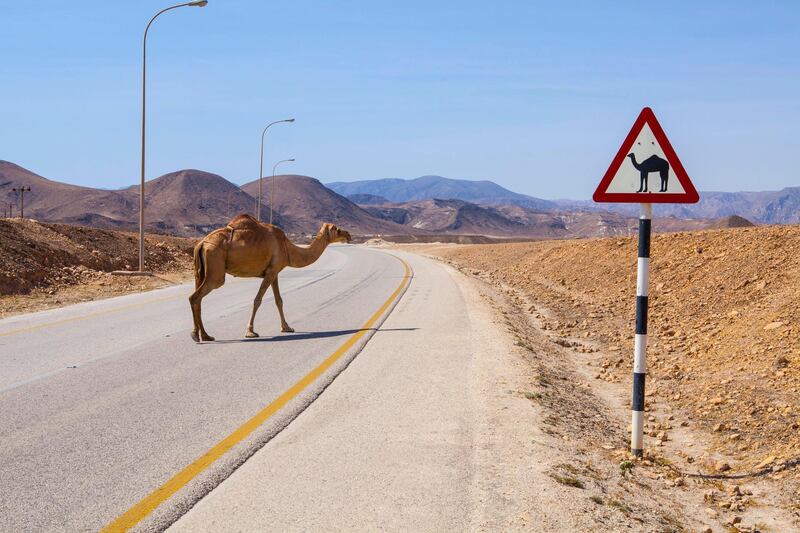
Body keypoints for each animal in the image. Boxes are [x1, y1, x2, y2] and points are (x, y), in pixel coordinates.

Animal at [189, 214, 352, 342]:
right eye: (336, 229)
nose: (348, 234)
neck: (287, 248)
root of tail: (201, 243)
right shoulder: (272, 271)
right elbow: (258, 300)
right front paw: (250, 331)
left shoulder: (274, 273)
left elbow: (279, 300)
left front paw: (287, 327)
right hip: (215, 269)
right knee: (195, 297)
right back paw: (198, 335)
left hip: (200, 272)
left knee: (197, 299)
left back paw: (204, 335)